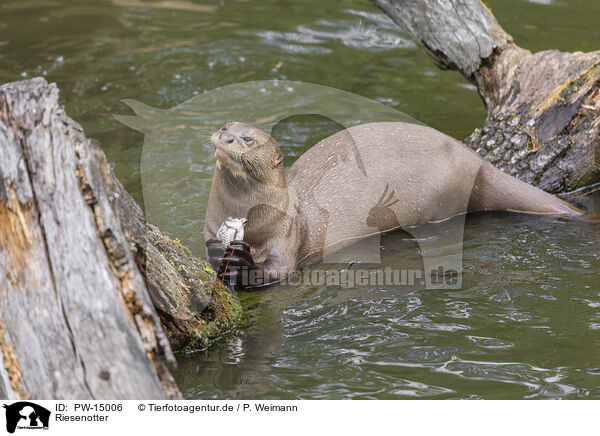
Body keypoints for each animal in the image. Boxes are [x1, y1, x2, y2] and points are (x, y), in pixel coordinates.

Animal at [205, 121, 580, 288]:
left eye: (247, 139)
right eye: (225, 126)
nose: (225, 137)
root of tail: (478, 164)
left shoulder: (287, 235)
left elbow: (278, 271)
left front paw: (240, 262)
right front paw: (218, 252)